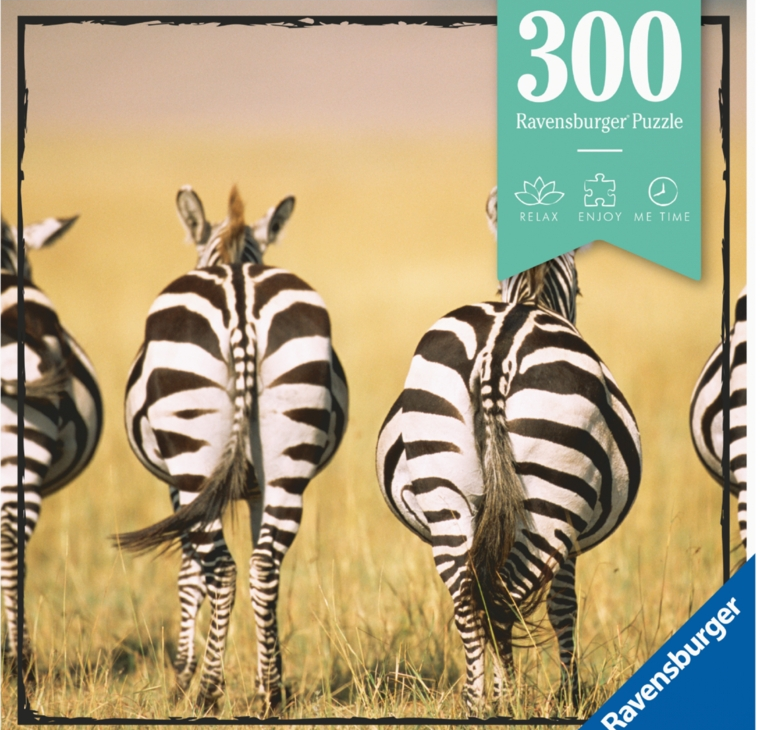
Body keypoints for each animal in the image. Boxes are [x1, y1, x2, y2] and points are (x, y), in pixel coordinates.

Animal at [116, 186, 348, 712]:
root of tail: (239, 294)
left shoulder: (177, 490)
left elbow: (189, 574)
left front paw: (181, 677)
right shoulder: (259, 489)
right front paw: (266, 677)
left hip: (192, 458)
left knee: (221, 570)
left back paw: (206, 692)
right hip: (287, 461)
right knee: (264, 566)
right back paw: (272, 696)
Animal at [375, 188, 641, 712]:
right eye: (581, 292)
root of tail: (498, 348)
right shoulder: (570, 540)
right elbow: (563, 606)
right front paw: (569, 695)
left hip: (445, 494)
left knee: (470, 599)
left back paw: (477, 702)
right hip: (551, 504)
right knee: (504, 597)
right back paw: (507, 700)